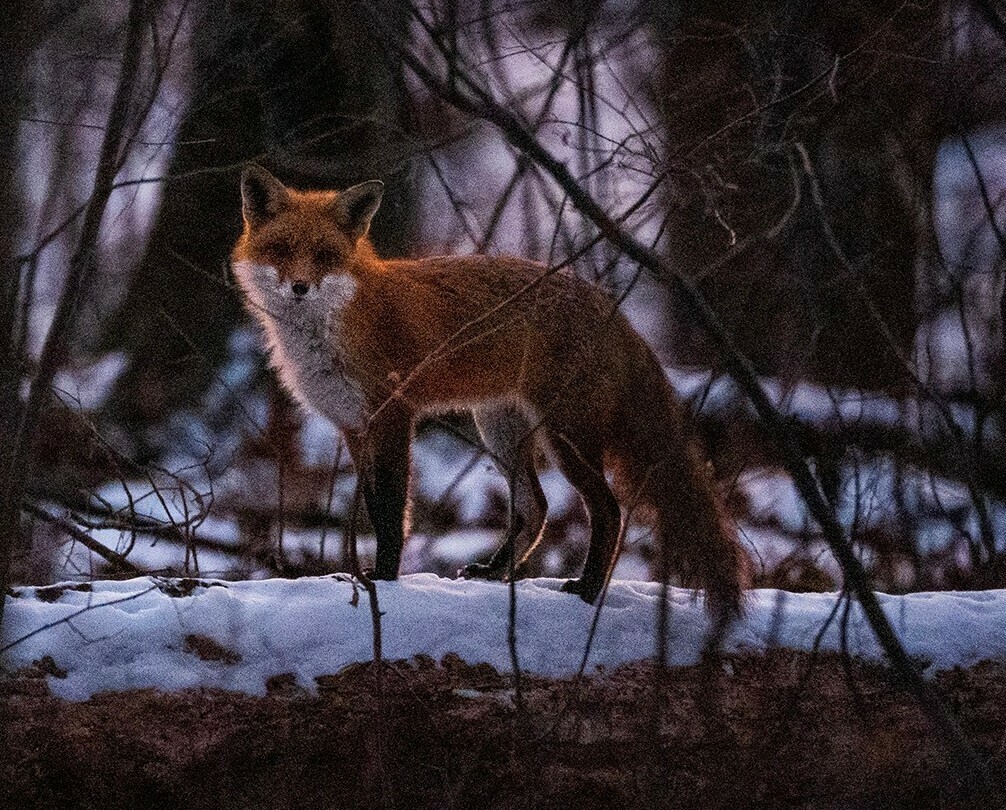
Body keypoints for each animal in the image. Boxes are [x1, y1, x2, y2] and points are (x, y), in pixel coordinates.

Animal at [231, 165, 750, 620]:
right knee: (535, 509)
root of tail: (613, 310)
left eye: (325, 255)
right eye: (281, 249)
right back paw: (497, 572)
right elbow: (375, 509)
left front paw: (385, 579)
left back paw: (586, 590)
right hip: (499, 431)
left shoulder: (394, 416)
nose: (300, 287)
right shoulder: (353, 426)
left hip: (564, 436)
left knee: (608, 510)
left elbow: (392, 513)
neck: (333, 327)